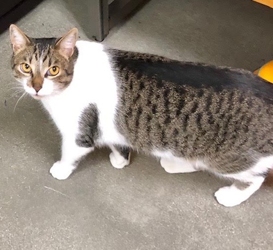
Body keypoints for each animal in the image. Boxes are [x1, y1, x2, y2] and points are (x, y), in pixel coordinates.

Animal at [8, 24, 272, 207]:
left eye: (53, 70)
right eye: (26, 67)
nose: (36, 87)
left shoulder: (78, 134)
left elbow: (70, 153)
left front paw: (61, 170)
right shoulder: (111, 127)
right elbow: (117, 143)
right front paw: (120, 160)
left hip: (230, 160)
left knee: (255, 178)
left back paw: (230, 196)